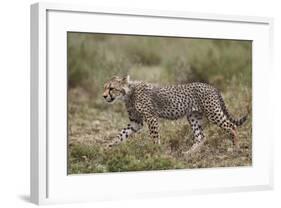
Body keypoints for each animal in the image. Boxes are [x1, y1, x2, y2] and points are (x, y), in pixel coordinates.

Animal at [102, 75, 245, 154]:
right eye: (105, 87)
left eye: (111, 88)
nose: (104, 96)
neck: (129, 93)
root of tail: (211, 86)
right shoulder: (135, 122)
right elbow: (120, 135)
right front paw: (106, 147)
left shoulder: (151, 117)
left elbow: (155, 137)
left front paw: (156, 151)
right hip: (193, 116)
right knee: (201, 136)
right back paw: (188, 153)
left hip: (213, 113)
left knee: (232, 126)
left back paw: (235, 148)